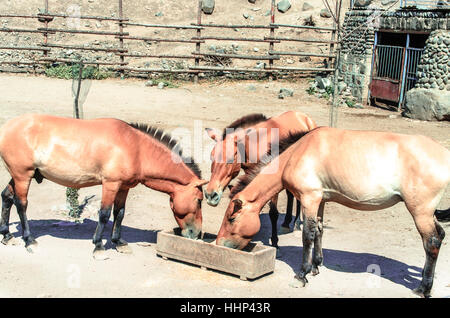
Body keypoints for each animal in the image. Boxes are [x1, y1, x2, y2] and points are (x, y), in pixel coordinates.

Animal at [0, 113, 207, 258]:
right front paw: (99, 246)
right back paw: (29, 240)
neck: (136, 149)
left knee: (6, 197)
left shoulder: (124, 187)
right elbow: (104, 214)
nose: (197, 234)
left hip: (19, 176)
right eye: (199, 200)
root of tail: (7, 127)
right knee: (21, 204)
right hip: (23, 176)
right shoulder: (110, 184)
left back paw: (7, 236)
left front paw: (118, 242)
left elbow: (119, 213)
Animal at [205, 110, 316, 250]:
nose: (210, 195)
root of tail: (303, 116)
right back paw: (286, 223)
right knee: (290, 194)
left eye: (230, 159)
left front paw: (274, 241)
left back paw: (297, 224)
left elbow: (273, 213)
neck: (256, 144)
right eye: (211, 157)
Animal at [216, 126, 448, 298]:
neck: (298, 153)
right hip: (428, 213)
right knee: (441, 234)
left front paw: (301, 275)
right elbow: (319, 230)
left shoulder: (309, 198)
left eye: (232, 218)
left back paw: (423, 288)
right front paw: (315, 266)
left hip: (420, 212)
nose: (219, 244)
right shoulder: (321, 200)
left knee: (432, 242)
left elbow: (307, 235)